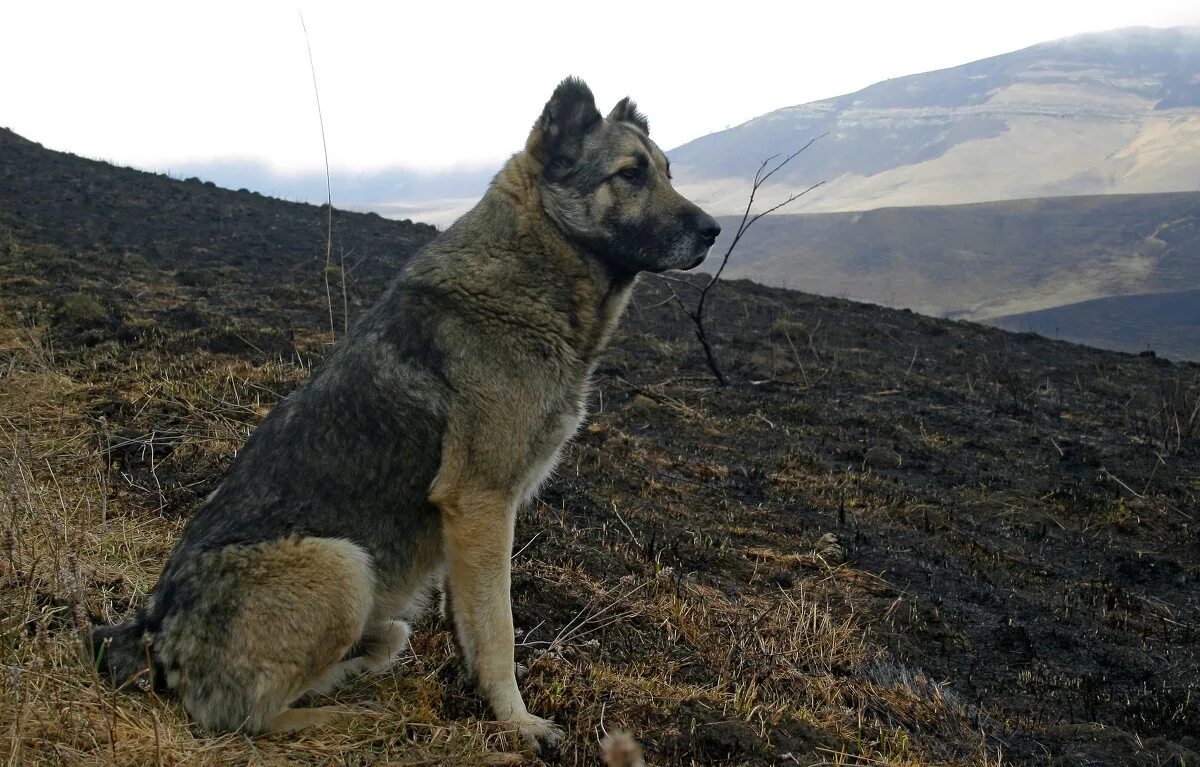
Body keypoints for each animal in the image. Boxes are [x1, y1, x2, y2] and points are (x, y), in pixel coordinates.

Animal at [91, 76, 720, 748]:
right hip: (341, 566)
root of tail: (154, 632)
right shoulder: (481, 500)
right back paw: (348, 717)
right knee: (245, 718)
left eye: (668, 172)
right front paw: (517, 721)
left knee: (371, 644)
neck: (533, 266)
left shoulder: (470, 522)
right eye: (630, 174)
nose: (712, 230)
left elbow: (468, 617)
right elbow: (498, 629)